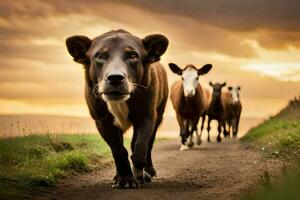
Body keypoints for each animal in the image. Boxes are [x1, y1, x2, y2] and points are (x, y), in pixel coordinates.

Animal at [65, 29, 169, 189]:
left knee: (148, 145)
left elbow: (140, 146)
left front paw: (139, 173)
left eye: (132, 55)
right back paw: (118, 176)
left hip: (158, 117)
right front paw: (126, 179)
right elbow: (119, 151)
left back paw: (148, 171)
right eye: (100, 55)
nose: (115, 78)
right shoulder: (103, 121)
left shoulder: (146, 116)